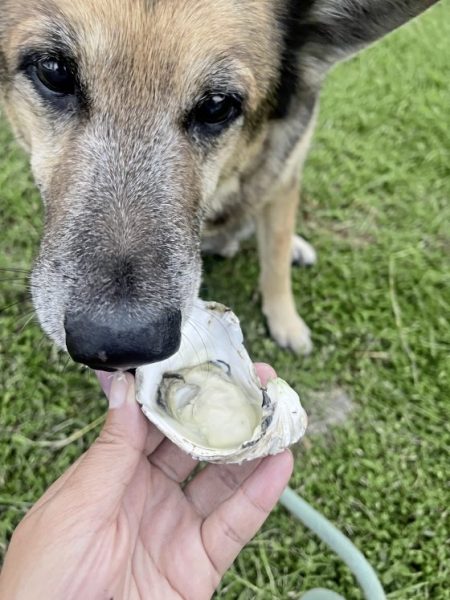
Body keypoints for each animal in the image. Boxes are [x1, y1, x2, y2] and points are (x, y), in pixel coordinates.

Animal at [0, 0, 438, 372]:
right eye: (54, 71)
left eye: (216, 105)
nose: (121, 345)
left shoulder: (285, 175)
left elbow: (276, 256)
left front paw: (285, 319)